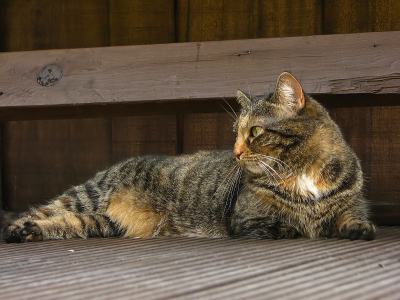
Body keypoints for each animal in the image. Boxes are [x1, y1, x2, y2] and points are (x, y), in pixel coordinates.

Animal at [3, 73, 376, 244]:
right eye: (236, 133)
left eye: (254, 132)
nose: (236, 152)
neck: (302, 173)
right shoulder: (246, 220)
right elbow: (285, 225)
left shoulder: (352, 201)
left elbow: (351, 216)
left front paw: (358, 228)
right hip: (87, 196)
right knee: (36, 212)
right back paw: (16, 229)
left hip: (101, 222)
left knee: (66, 224)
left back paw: (30, 233)